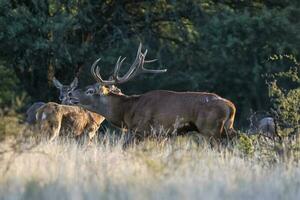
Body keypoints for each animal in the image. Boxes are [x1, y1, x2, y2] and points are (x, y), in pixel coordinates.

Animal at [68, 44, 237, 147]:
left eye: (90, 91)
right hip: (227, 128)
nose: (70, 94)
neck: (127, 111)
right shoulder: (160, 136)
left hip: (210, 129)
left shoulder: (142, 130)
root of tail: (231, 107)